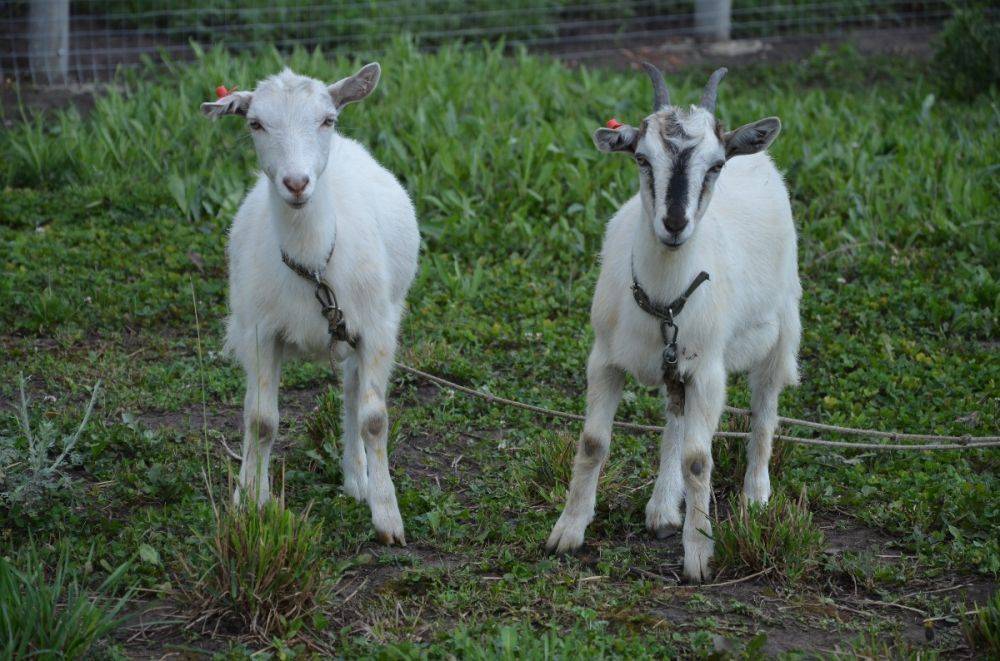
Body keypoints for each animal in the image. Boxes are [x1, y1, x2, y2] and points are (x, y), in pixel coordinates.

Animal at [201, 64, 420, 544]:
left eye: (327, 119)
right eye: (255, 123)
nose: (297, 183)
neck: (314, 264)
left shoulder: (376, 329)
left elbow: (374, 418)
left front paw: (388, 517)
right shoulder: (260, 332)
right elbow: (260, 420)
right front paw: (249, 502)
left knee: (353, 393)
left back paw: (358, 480)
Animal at [548, 64, 804, 580]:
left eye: (715, 165)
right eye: (642, 159)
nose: (673, 224)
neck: (664, 301)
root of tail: (758, 158)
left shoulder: (707, 370)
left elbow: (699, 461)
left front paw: (699, 557)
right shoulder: (605, 359)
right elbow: (593, 442)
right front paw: (568, 531)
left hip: (783, 324)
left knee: (765, 407)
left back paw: (755, 494)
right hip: (676, 361)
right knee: (676, 418)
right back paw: (664, 508)